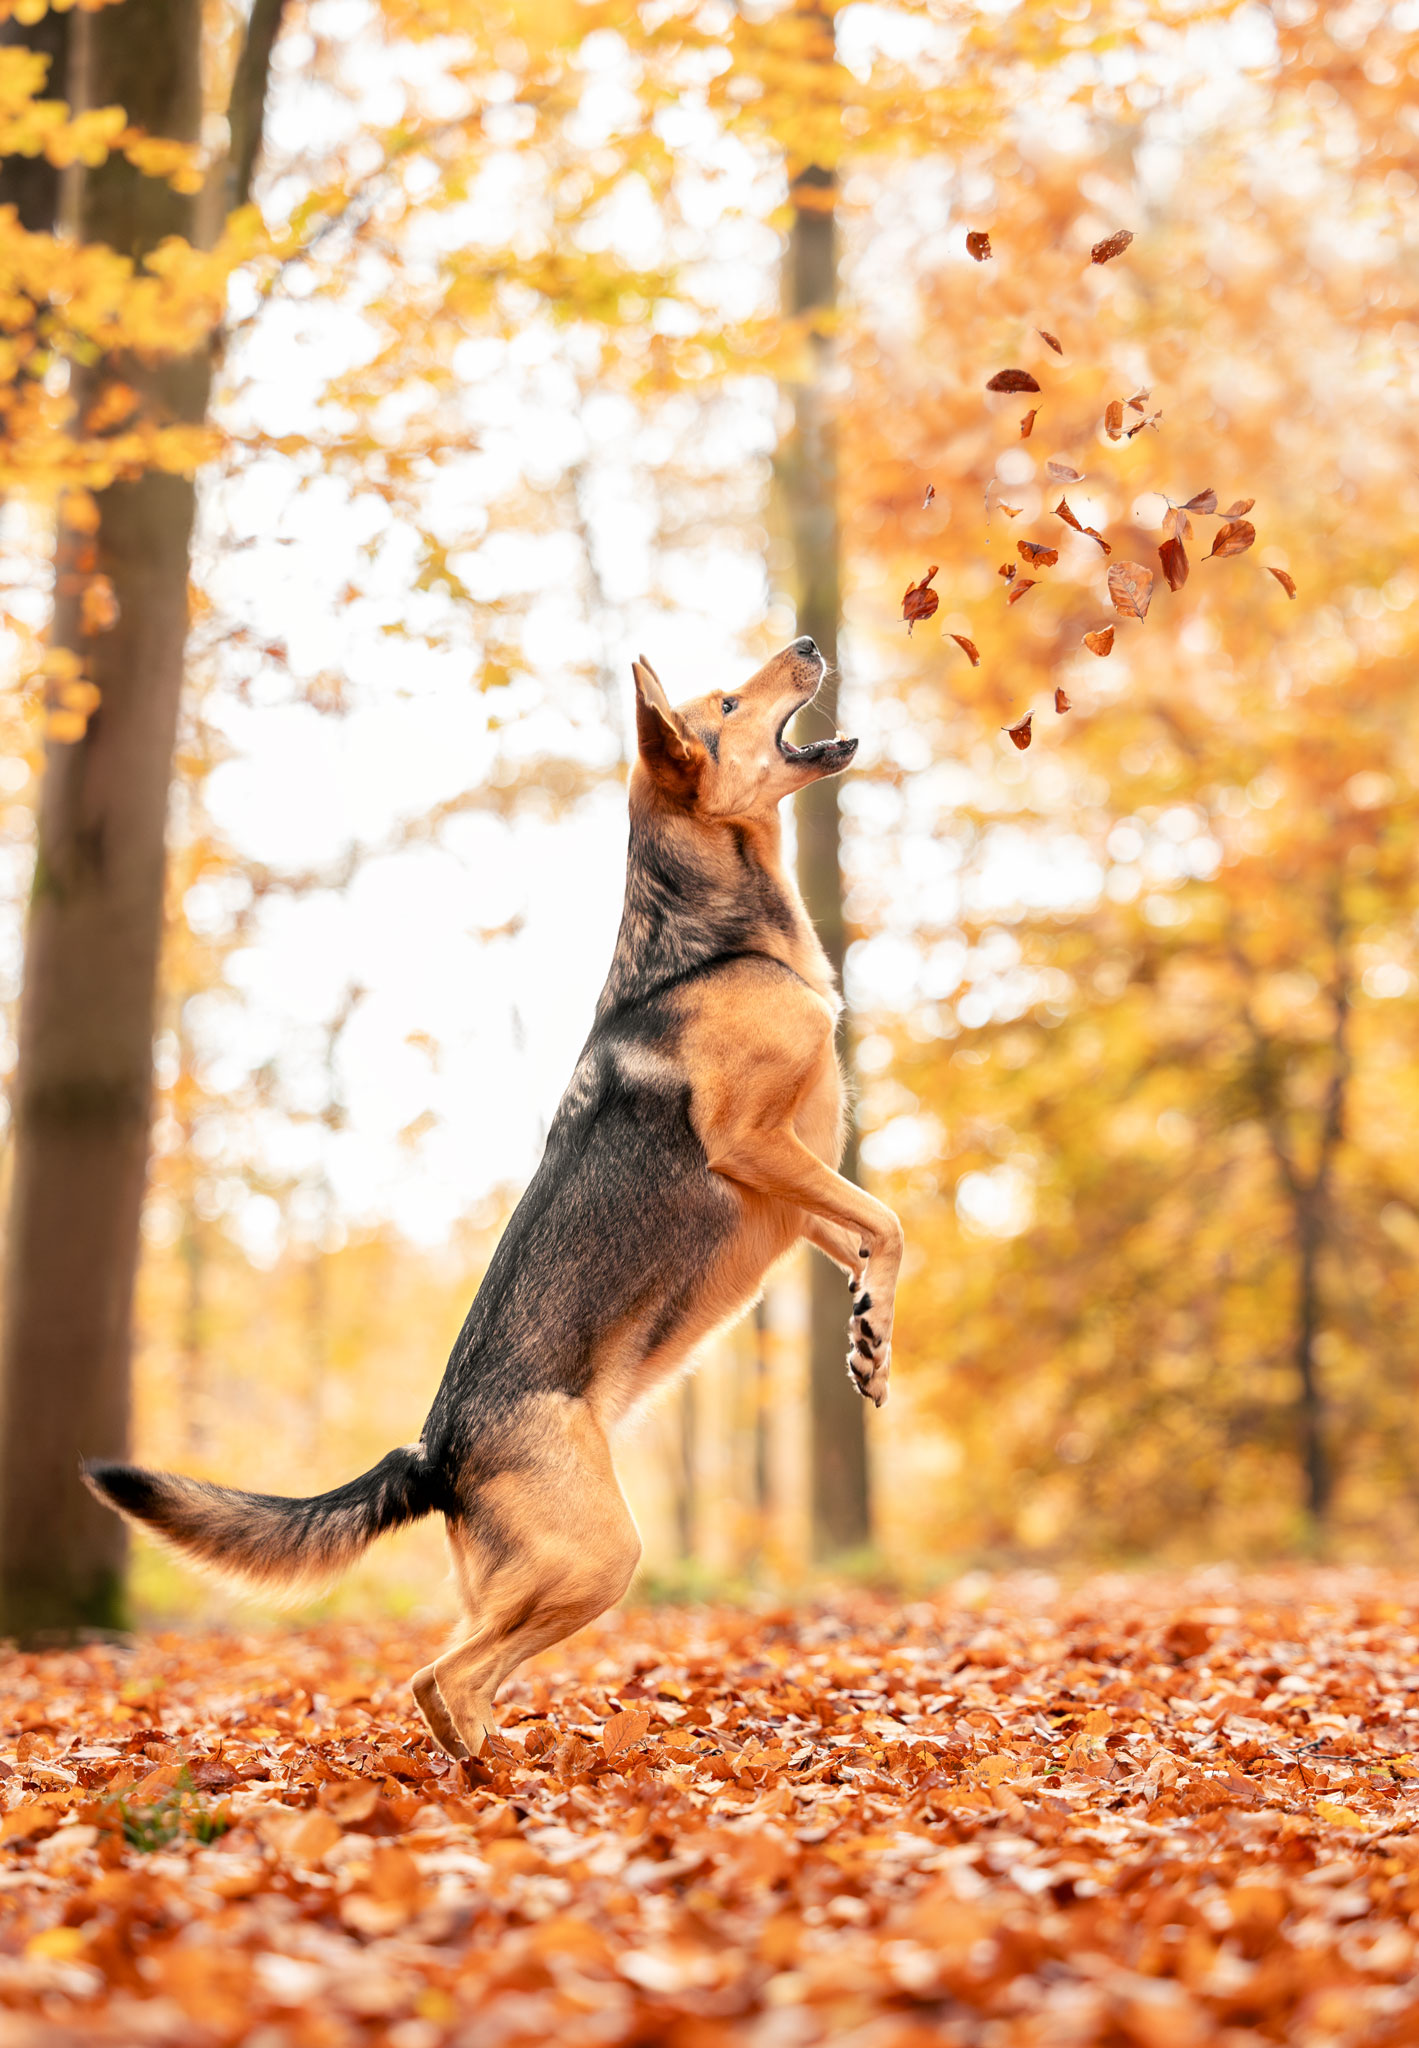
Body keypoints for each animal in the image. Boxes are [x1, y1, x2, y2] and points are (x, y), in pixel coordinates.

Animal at [88, 643, 900, 1761]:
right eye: (730, 700)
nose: (813, 644)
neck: (708, 945)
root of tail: (435, 1452)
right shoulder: (757, 1147)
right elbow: (890, 1221)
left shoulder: (792, 1196)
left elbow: (876, 1237)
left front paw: (871, 1340)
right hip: (599, 1554)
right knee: (442, 1677)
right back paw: (506, 1783)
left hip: (532, 1578)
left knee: (456, 1675)